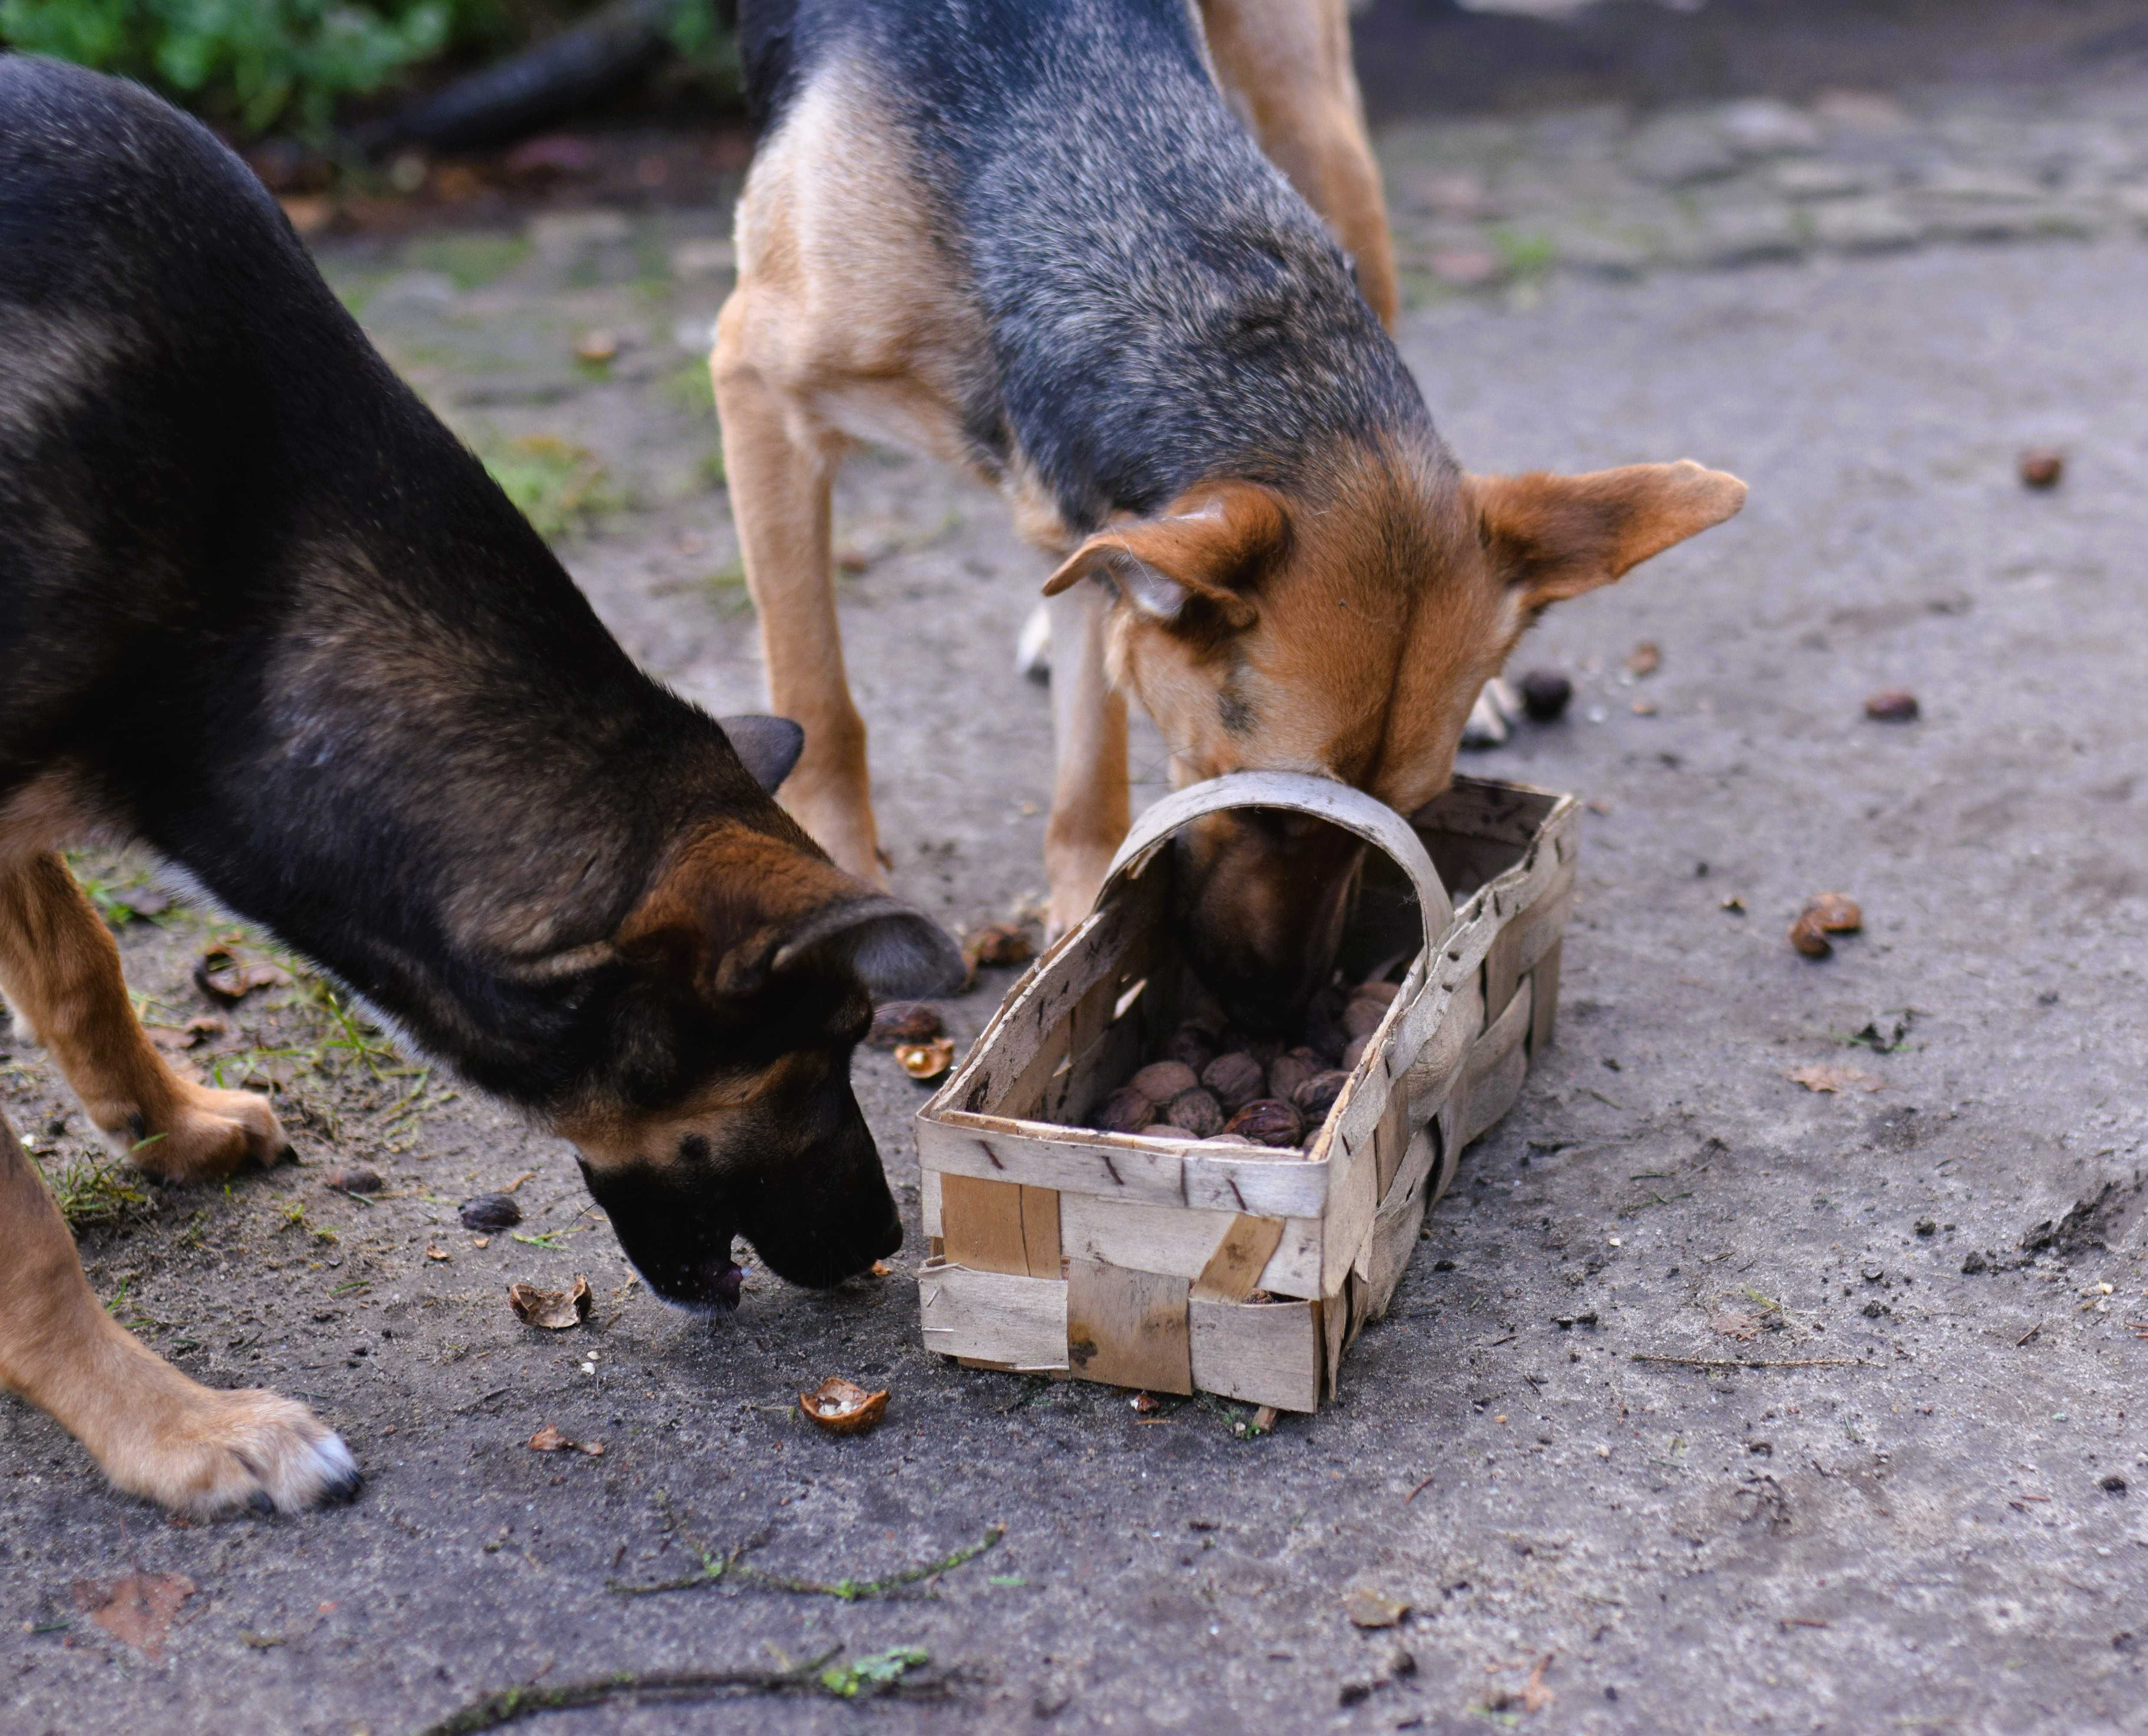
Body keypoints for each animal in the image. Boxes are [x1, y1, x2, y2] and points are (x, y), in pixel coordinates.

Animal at [0, 58, 958, 1521]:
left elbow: (76, 954)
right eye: (822, 1042)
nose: (882, 1240)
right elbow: (26, 1231)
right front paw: (176, 1428)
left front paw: (163, 1121)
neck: (249, 576)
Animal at [717, 0, 1744, 1031]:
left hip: (1310, 114)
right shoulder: (758, 394)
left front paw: (1084, 917)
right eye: (1259, 811)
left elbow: (1091, 762)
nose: (1281, 1013)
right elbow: (817, 694)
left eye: (1408, 814)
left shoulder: (1086, 515)